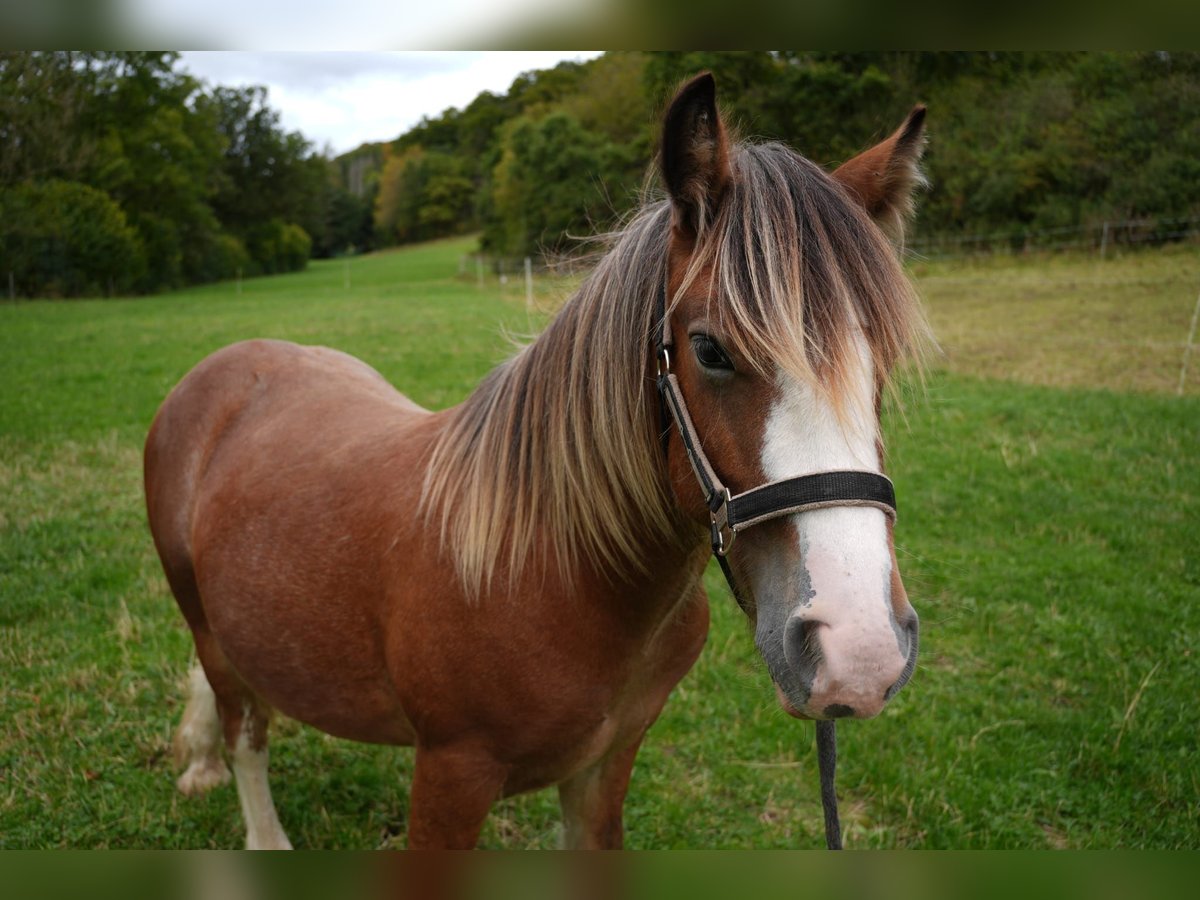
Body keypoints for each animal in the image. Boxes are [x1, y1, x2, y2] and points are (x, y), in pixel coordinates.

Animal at [145, 74, 931, 849]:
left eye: (884, 356)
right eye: (709, 349)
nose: (859, 651)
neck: (556, 567)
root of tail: (225, 367)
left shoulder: (604, 767)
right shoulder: (451, 775)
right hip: (204, 621)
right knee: (246, 734)